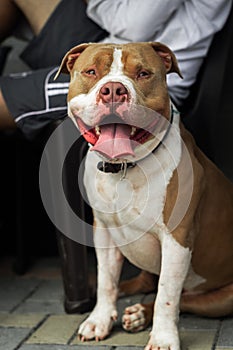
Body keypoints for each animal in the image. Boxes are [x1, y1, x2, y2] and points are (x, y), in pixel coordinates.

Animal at [55, 41, 233, 350]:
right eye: (91, 72)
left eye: (143, 74)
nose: (113, 89)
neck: (125, 167)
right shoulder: (103, 231)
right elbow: (107, 281)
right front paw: (99, 319)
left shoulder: (177, 240)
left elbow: (167, 296)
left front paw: (163, 338)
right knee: (139, 283)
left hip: (223, 298)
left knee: (183, 298)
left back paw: (140, 314)